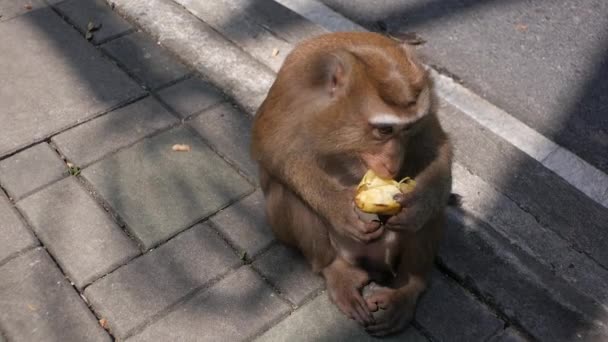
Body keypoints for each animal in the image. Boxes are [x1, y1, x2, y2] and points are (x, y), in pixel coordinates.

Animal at [251, 32, 452, 336]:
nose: (393, 163)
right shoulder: (292, 89)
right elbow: (271, 146)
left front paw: (417, 206)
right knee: (287, 190)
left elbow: (436, 150)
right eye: (384, 129)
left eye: (407, 129)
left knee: (436, 207)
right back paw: (336, 271)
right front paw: (338, 208)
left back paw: (408, 287)